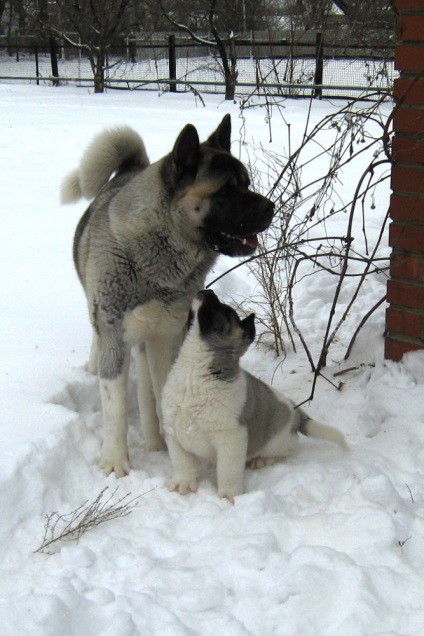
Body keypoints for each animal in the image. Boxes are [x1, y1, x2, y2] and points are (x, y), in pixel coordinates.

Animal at [63, 114, 274, 474]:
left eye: (246, 183)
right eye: (226, 190)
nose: (271, 207)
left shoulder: (165, 337)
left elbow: (160, 391)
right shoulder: (114, 336)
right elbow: (115, 408)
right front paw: (115, 462)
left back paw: (154, 438)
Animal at [162, 290, 348, 502]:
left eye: (226, 312)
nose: (207, 291)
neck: (195, 369)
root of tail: (295, 412)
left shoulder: (231, 438)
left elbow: (227, 471)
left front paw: (229, 496)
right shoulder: (173, 432)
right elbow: (182, 463)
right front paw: (182, 483)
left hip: (277, 442)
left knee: (290, 448)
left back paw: (262, 460)